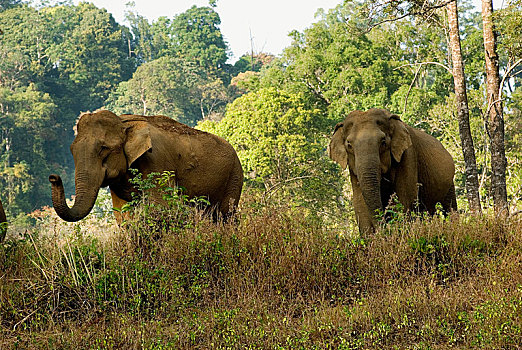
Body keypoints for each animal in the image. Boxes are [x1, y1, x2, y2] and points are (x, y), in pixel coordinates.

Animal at [49, 110, 244, 223]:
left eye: (103, 149)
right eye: (72, 150)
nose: (53, 177)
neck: (124, 122)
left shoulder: (156, 161)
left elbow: (159, 207)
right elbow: (123, 213)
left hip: (235, 177)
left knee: (226, 215)